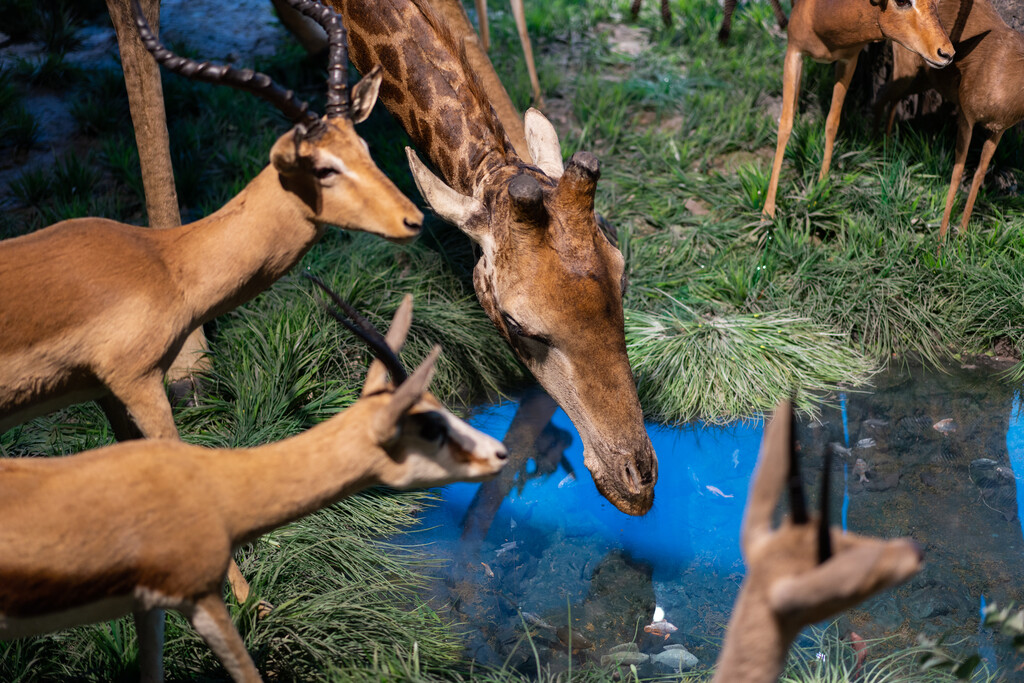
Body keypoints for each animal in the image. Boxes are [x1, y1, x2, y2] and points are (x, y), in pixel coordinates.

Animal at [0, 288, 509, 683]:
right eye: (430, 427)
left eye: (440, 403)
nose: (500, 454)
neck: (210, 487)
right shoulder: (199, 598)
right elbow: (247, 671)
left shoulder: (147, 606)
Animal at [761, 0, 950, 218]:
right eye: (902, 2)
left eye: (937, 2)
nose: (947, 53)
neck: (818, 13)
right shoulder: (794, 52)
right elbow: (784, 125)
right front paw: (767, 211)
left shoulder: (848, 61)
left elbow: (832, 122)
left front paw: (821, 189)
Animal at [872, 0, 1024, 244]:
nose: (948, 54)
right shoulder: (966, 117)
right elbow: (957, 173)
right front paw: (941, 241)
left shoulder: (997, 131)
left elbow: (979, 173)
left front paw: (962, 235)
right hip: (908, 69)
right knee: (881, 97)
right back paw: (873, 150)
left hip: (921, 80)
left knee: (890, 99)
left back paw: (885, 148)